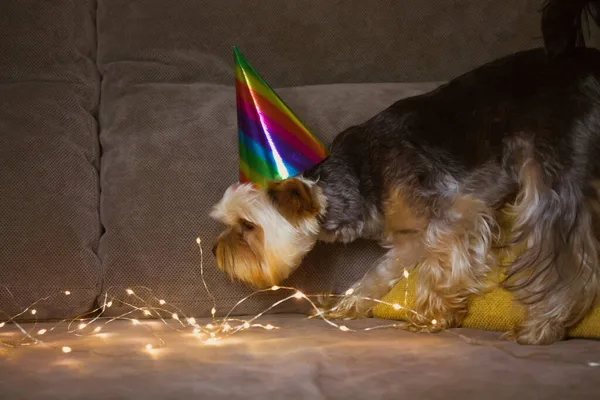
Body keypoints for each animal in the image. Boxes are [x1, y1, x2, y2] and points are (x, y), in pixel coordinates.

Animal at [211, 0, 600, 344]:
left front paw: (433, 313)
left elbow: (440, 264)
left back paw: (543, 325)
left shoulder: (458, 212)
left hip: (550, 176)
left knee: (573, 262)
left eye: (247, 227)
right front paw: (348, 304)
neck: (358, 178)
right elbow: (380, 271)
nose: (214, 251)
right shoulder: (408, 236)